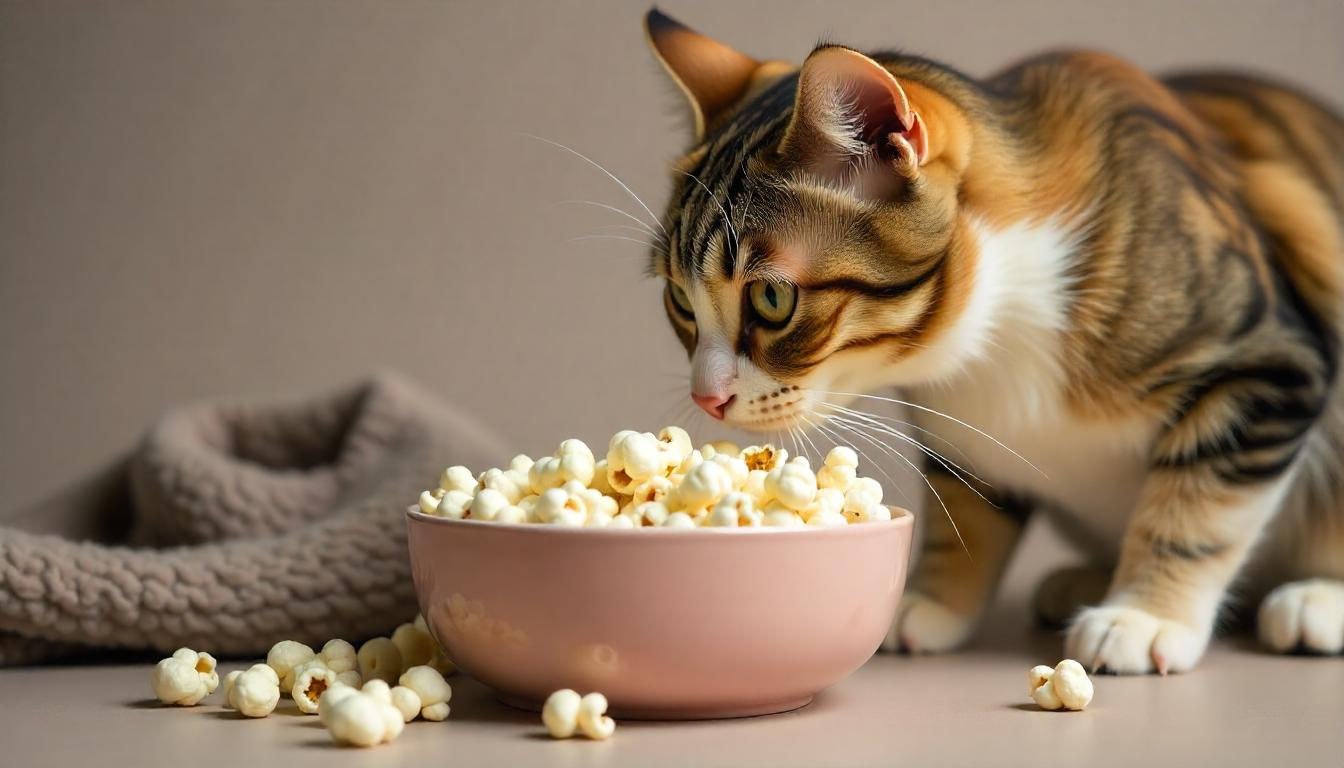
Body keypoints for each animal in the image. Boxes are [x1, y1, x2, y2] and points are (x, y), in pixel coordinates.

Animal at [639, 8, 1344, 675]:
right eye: (681, 301)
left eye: (772, 299)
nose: (706, 399)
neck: (992, 338)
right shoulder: (960, 433)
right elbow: (967, 518)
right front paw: (931, 601)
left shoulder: (1264, 366)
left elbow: (1197, 507)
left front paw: (1144, 614)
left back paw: (1314, 600)